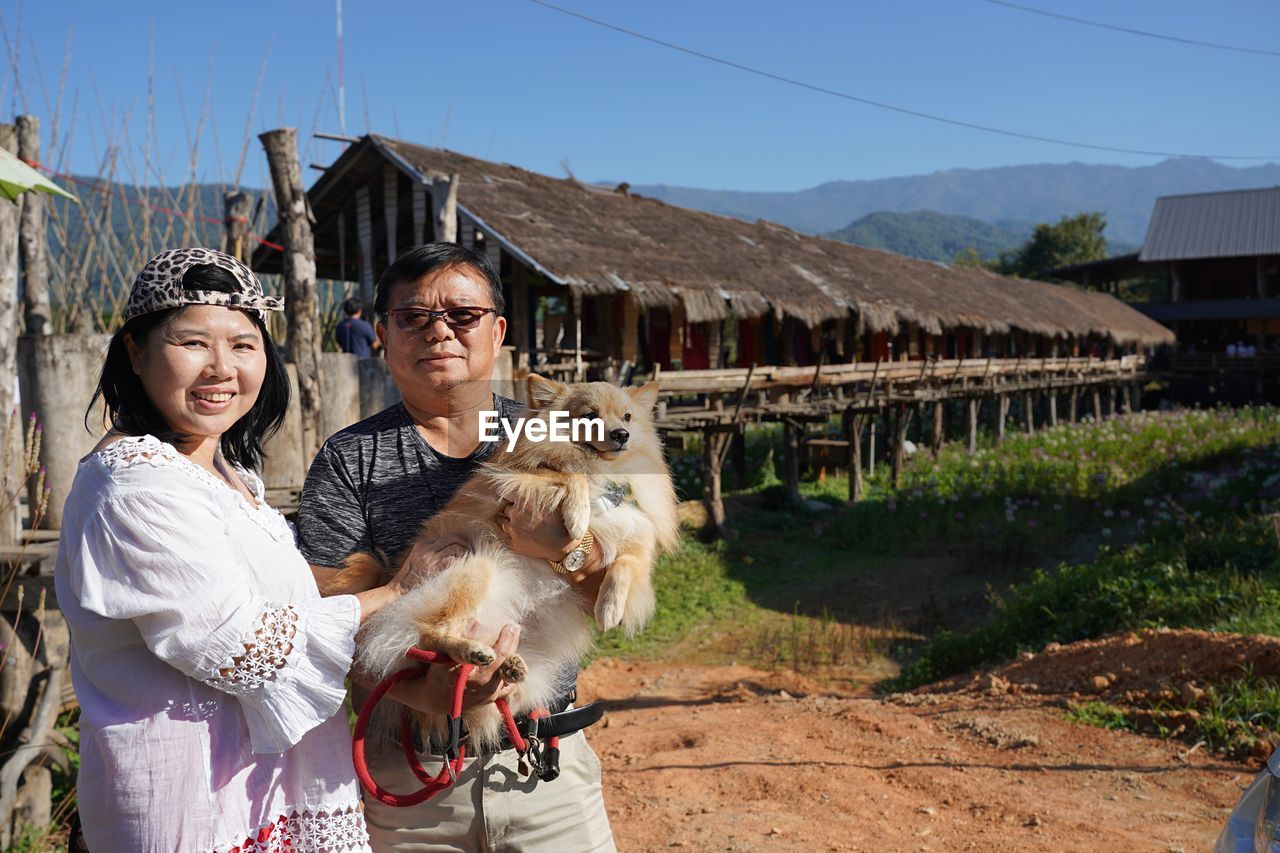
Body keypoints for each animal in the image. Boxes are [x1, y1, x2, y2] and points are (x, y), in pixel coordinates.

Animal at [332, 376, 680, 747]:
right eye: (590, 416)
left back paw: (508, 665)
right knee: (428, 636)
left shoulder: (636, 536)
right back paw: (471, 651)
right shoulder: (513, 482)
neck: (606, 473)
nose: (621, 434)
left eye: (627, 417)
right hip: (474, 567)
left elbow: (624, 568)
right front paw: (577, 514)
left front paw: (609, 608)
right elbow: (567, 475)